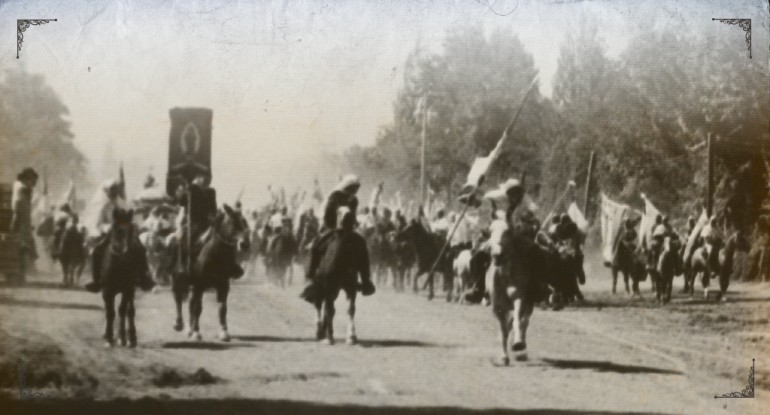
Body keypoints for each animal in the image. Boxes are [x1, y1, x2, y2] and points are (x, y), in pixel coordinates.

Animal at [172, 206, 249, 342]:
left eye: (244, 222)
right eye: (232, 223)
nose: (244, 244)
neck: (215, 255)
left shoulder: (223, 286)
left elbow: (222, 308)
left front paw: (224, 332)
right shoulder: (199, 286)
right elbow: (198, 309)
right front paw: (197, 333)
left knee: (191, 304)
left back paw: (189, 329)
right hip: (180, 280)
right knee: (179, 298)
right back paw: (179, 324)